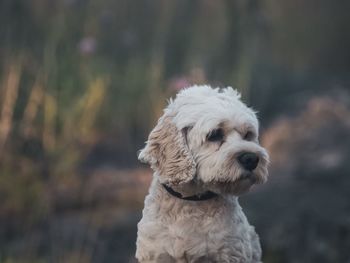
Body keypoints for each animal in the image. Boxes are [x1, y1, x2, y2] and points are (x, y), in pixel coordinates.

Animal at [135, 85, 270, 262]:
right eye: (214, 134)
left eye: (248, 135)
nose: (251, 159)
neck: (191, 202)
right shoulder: (157, 253)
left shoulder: (230, 253)